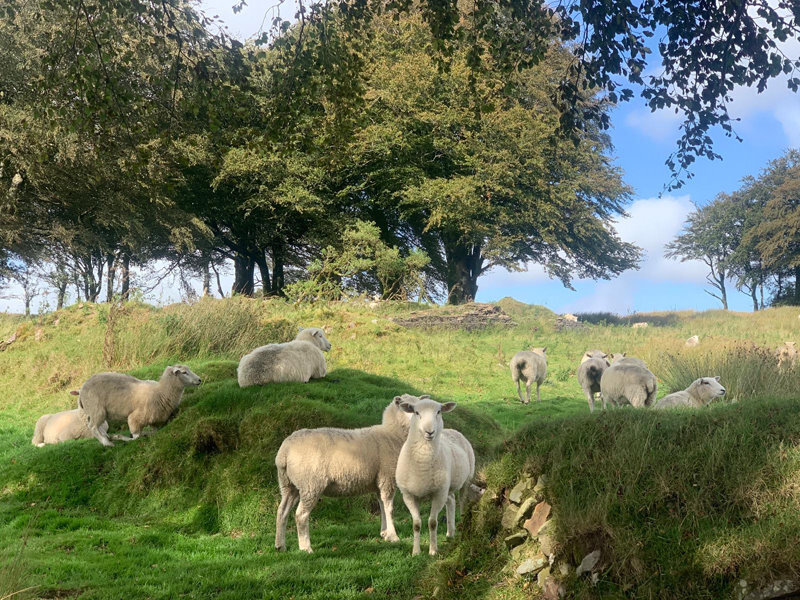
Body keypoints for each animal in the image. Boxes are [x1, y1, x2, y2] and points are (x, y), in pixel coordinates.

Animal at [276, 394, 422, 552]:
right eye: (408, 407)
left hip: (289, 484)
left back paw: (280, 545)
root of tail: (284, 451)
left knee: (282, 511)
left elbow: (382, 505)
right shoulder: (387, 477)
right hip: (311, 484)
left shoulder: (379, 482)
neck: (392, 434)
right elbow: (389, 508)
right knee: (301, 515)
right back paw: (305, 547)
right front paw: (393, 536)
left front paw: (384, 533)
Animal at [396, 398, 476, 556]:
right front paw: (416, 552)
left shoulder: (438, 493)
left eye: (438, 412)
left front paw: (433, 551)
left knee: (462, 503)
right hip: (447, 486)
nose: (430, 432)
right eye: (416, 412)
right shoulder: (408, 495)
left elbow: (432, 523)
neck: (422, 460)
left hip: (466, 481)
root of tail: (451, 430)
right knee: (451, 501)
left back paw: (461, 527)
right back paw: (450, 533)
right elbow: (416, 524)